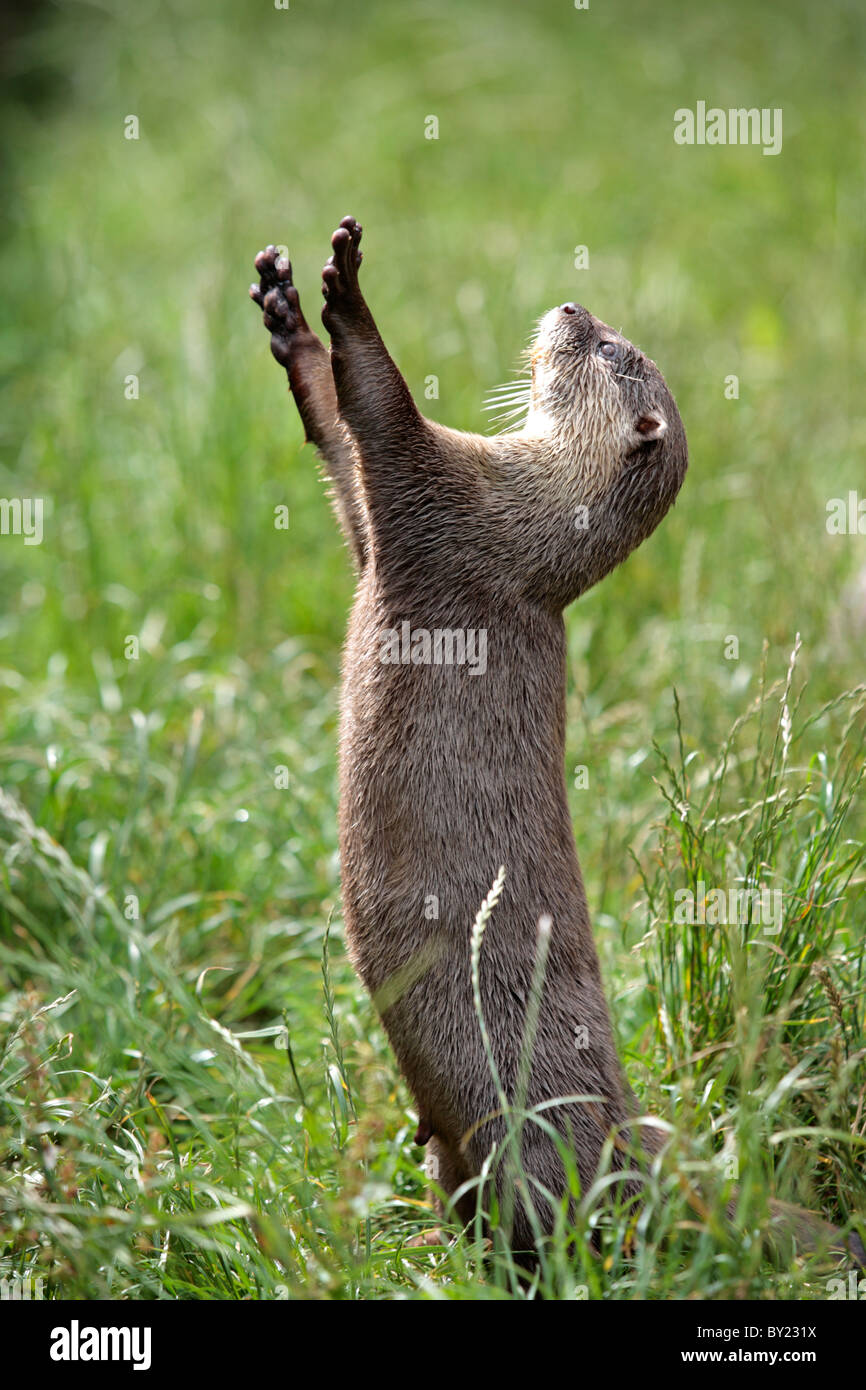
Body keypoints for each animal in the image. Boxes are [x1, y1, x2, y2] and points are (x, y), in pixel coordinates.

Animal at [249, 218, 860, 1268]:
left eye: (611, 350)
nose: (574, 305)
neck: (532, 522)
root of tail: (630, 1130)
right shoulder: (396, 528)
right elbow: (339, 447)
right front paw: (288, 319)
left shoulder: (448, 498)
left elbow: (382, 410)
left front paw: (347, 292)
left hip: (530, 1133)